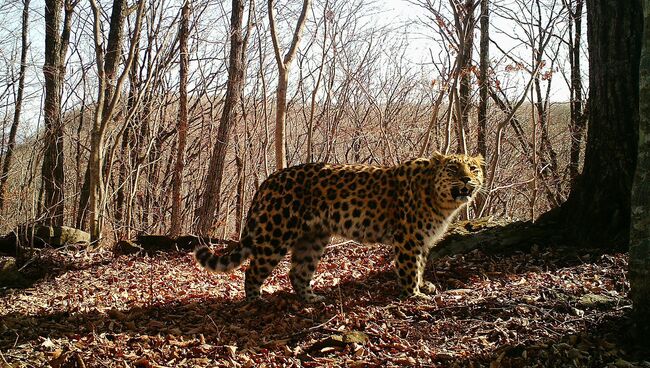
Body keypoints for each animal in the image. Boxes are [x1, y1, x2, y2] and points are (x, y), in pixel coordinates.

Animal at [192, 152, 480, 302]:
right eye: (453, 169)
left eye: (474, 168)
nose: (467, 179)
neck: (441, 201)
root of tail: (269, 179)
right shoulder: (408, 238)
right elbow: (410, 267)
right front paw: (414, 295)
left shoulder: (421, 240)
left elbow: (420, 264)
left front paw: (423, 286)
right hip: (276, 234)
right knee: (253, 270)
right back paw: (256, 300)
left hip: (313, 238)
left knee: (297, 272)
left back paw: (311, 299)